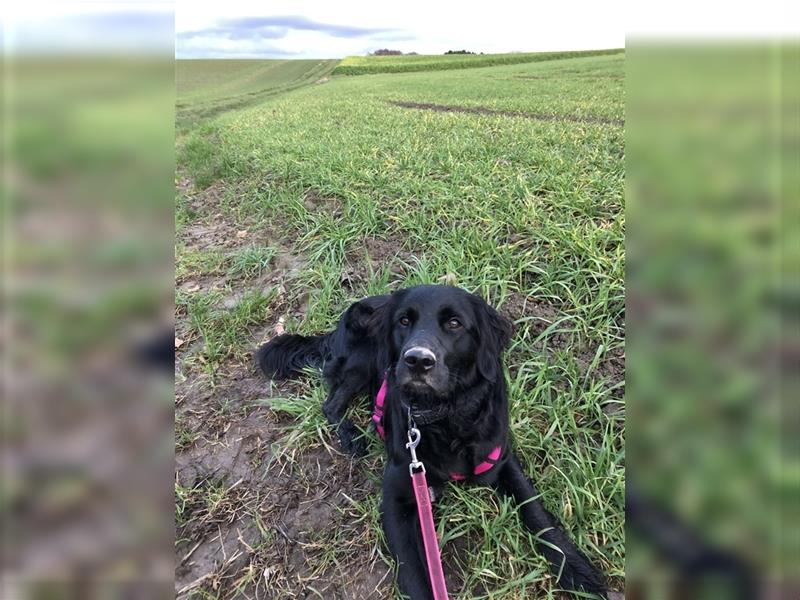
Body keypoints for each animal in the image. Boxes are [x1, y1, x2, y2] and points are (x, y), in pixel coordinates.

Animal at [258, 284, 608, 596]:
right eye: (403, 321)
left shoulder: (502, 458)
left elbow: (537, 514)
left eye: (454, 323)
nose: (417, 360)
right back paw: (351, 436)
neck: (444, 415)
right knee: (330, 404)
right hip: (362, 362)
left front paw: (579, 572)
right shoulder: (397, 495)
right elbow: (412, 571)